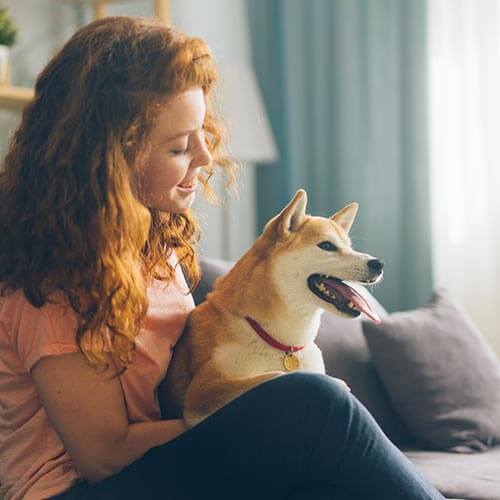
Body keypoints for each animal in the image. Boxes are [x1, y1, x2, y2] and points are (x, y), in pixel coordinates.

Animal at [160, 189, 382, 428]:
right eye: (327, 246)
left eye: (349, 247)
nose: (378, 264)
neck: (282, 343)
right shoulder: (204, 389)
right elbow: (276, 376)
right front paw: (335, 383)